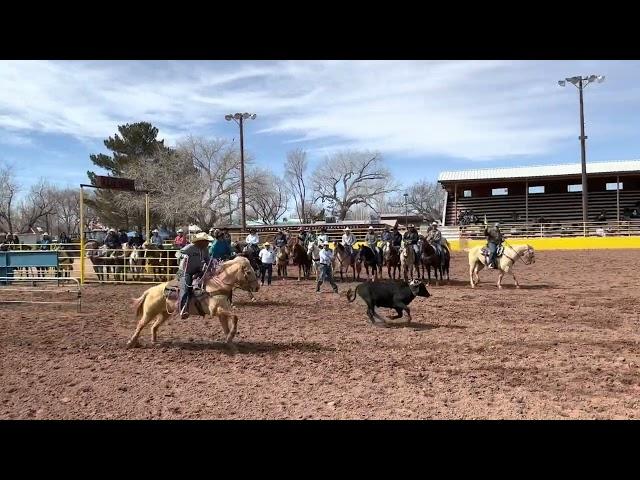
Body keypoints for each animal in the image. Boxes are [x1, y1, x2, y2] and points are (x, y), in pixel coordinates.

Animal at [127, 256, 260, 346]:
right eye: (248, 272)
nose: (257, 287)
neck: (218, 285)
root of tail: (149, 291)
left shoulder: (222, 313)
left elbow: (227, 326)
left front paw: (229, 340)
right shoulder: (216, 310)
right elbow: (235, 317)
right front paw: (231, 337)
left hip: (164, 314)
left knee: (154, 326)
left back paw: (154, 341)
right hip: (149, 313)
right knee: (140, 325)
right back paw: (131, 342)